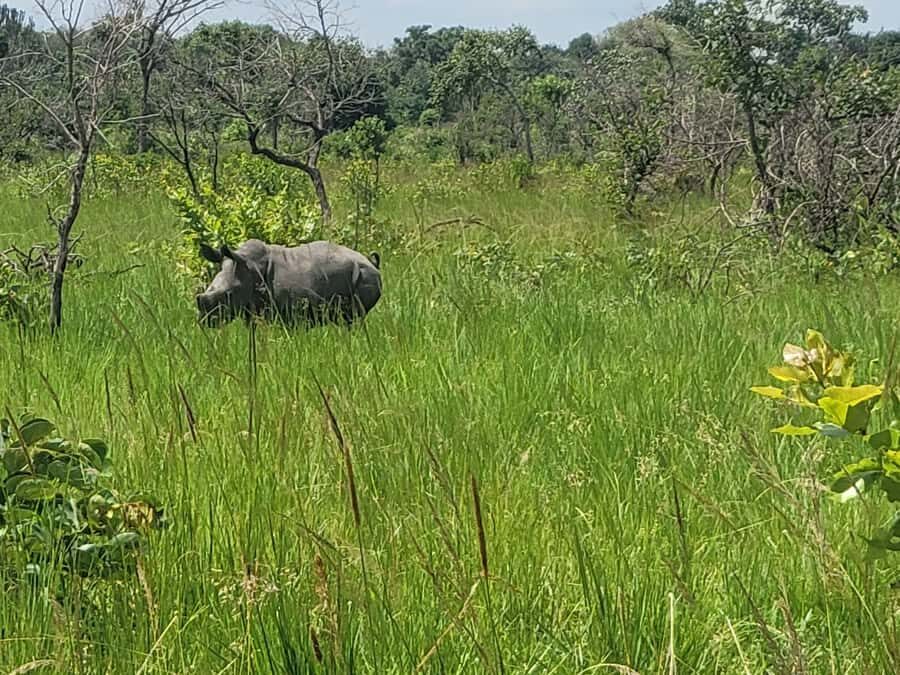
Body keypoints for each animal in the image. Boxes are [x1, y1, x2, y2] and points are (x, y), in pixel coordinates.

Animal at [196, 239, 382, 327]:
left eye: (228, 295)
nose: (205, 321)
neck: (248, 266)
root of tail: (371, 262)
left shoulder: (291, 313)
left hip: (365, 275)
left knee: (353, 317)